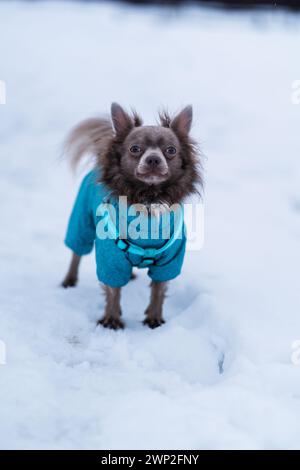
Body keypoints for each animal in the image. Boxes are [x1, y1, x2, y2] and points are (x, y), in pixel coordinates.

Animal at [61, 103, 200, 330]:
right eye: (135, 149)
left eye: (171, 150)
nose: (153, 159)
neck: (148, 201)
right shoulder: (111, 259)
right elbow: (113, 290)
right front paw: (111, 320)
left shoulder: (169, 261)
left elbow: (158, 290)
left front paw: (154, 318)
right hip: (82, 223)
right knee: (76, 253)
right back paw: (69, 280)